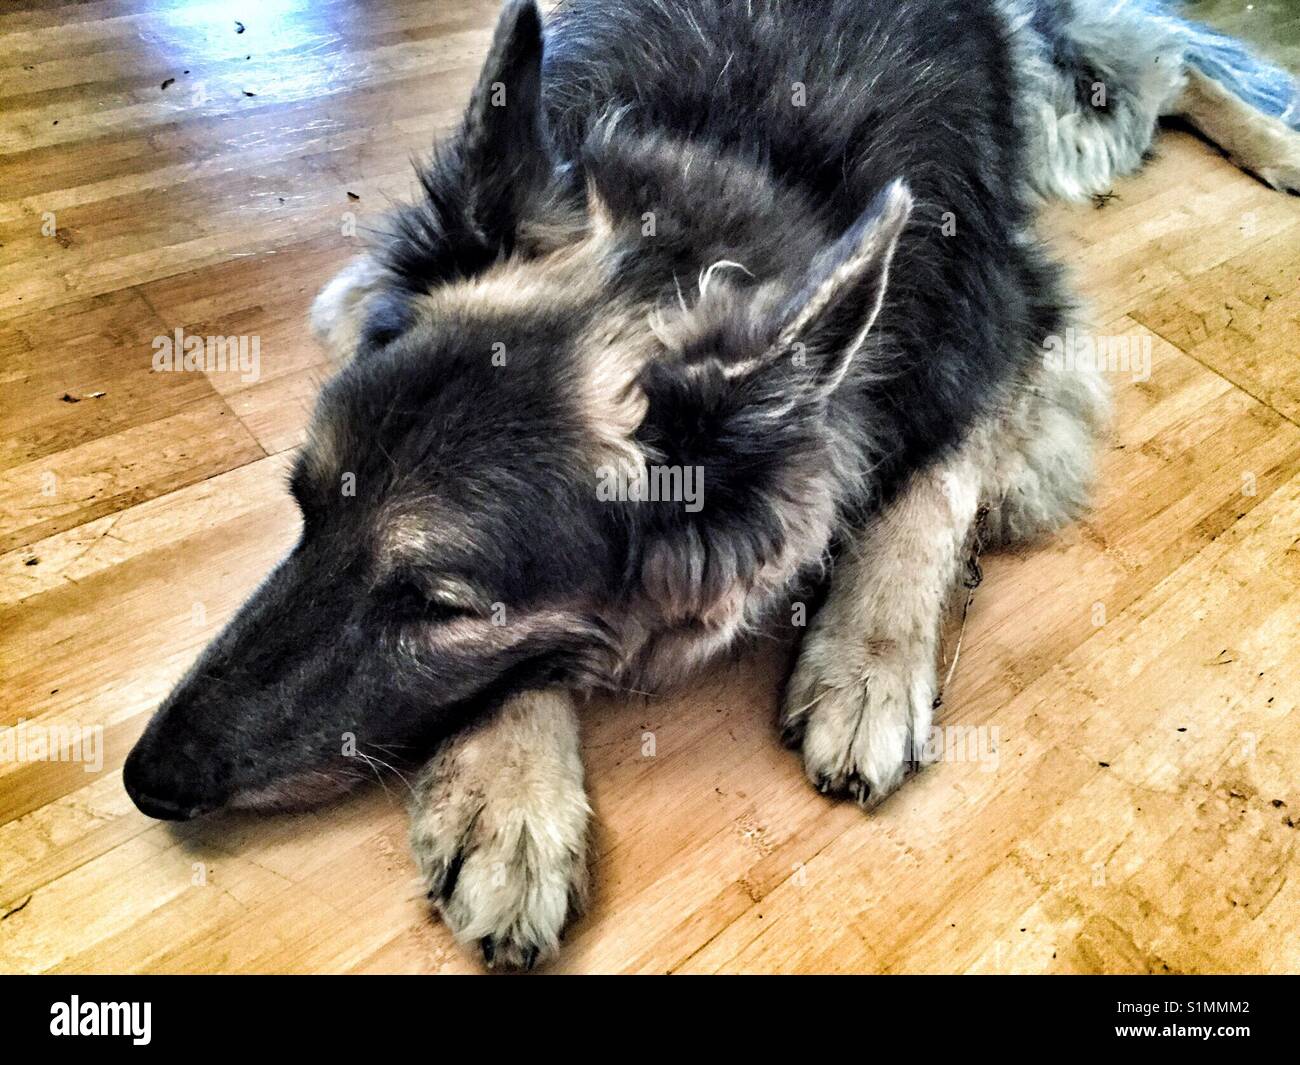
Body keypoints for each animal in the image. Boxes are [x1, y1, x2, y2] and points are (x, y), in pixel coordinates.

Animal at [124, 0, 1300, 972]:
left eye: (435, 604)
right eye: (306, 509)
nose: (145, 779)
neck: (735, 166)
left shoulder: (1010, 330)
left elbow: (932, 485)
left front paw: (870, 660)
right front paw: (507, 788)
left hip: (1063, 119)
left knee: (1165, 63)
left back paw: (1275, 142)